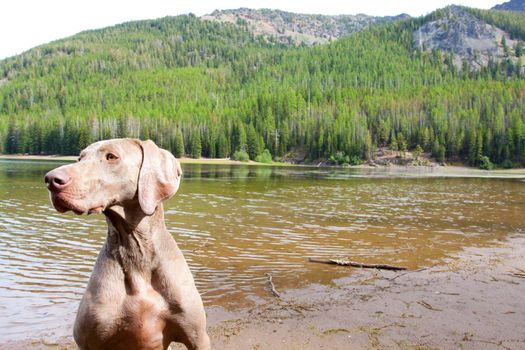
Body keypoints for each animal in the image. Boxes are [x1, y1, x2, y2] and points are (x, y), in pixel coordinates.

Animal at [44, 139, 210, 350]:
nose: (51, 179)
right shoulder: (90, 340)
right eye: (80, 158)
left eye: (111, 157)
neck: (136, 251)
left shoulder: (198, 337)